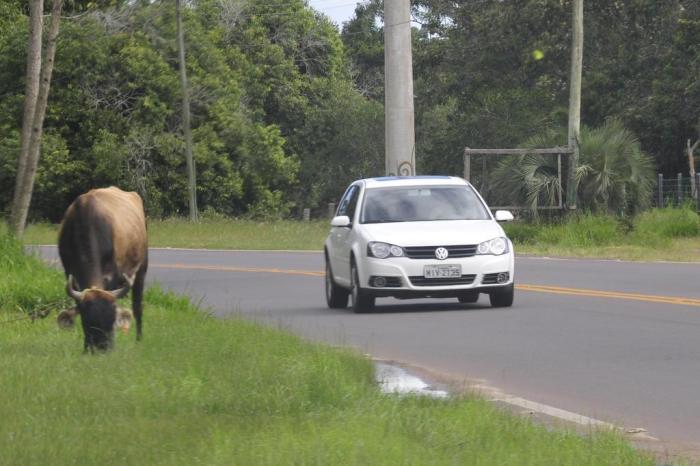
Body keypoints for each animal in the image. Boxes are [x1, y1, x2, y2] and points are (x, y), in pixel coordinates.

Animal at [57, 187, 149, 352]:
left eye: (112, 319)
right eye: (87, 321)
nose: (103, 348)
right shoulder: (69, 272)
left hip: (142, 268)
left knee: (137, 306)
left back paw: (139, 339)